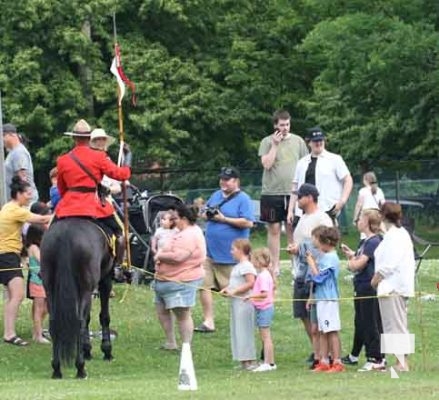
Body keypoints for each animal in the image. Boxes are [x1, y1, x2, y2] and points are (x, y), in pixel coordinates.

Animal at [41, 219, 115, 378]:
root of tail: (65, 236)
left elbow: (88, 318)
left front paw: (87, 350)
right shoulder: (106, 278)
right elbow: (103, 316)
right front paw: (106, 350)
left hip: (50, 289)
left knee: (54, 323)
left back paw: (57, 369)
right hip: (86, 288)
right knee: (79, 323)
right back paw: (80, 368)